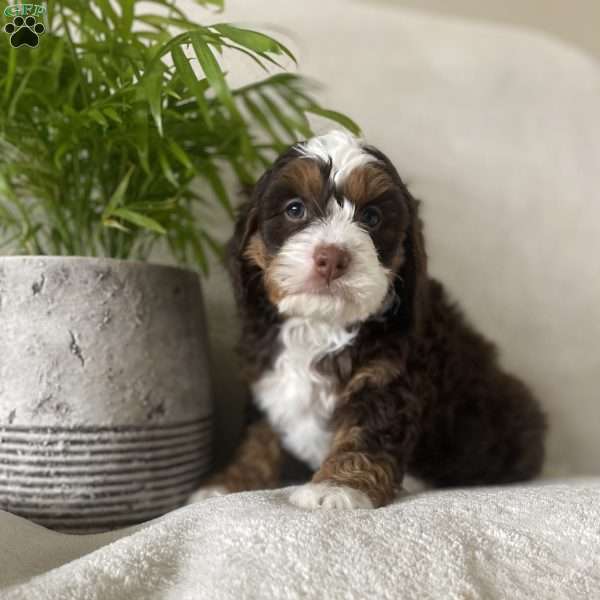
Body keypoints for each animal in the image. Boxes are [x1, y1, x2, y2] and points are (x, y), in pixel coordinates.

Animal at [191, 131, 544, 510]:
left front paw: (336, 487)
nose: (332, 258)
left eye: (372, 217)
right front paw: (228, 482)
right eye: (295, 209)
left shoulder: (388, 377)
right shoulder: (266, 380)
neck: (321, 325)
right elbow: (258, 438)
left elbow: (366, 433)